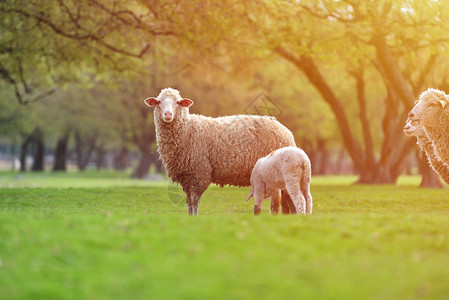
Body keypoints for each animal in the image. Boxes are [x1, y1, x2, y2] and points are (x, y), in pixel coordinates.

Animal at [144, 87, 296, 216]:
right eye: (159, 102)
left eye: (178, 103)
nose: (167, 114)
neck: (188, 130)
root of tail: (284, 129)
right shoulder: (186, 176)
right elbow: (189, 201)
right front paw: (189, 217)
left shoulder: (200, 173)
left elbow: (194, 200)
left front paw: (195, 217)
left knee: (285, 198)